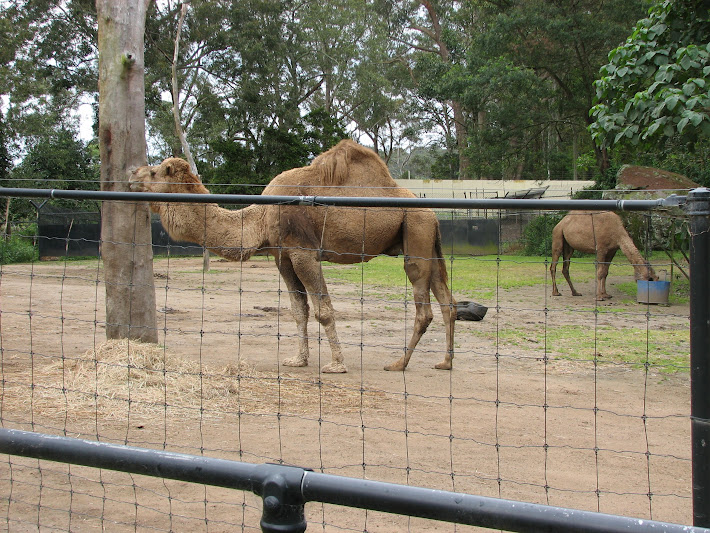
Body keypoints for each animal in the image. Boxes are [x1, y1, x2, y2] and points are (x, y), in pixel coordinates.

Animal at [130, 140, 456, 373]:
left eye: (155, 172)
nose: (132, 173)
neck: (261, 216)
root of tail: (432, 214)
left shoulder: (303, 251)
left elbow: (323, 310)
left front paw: (337, 364)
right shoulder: (283, 257)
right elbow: (299, 311)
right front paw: (298, 360)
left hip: (415, 230)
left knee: (423, 305)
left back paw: (399, 363)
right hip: (426, 239)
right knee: (446, 300)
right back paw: (444, 362)